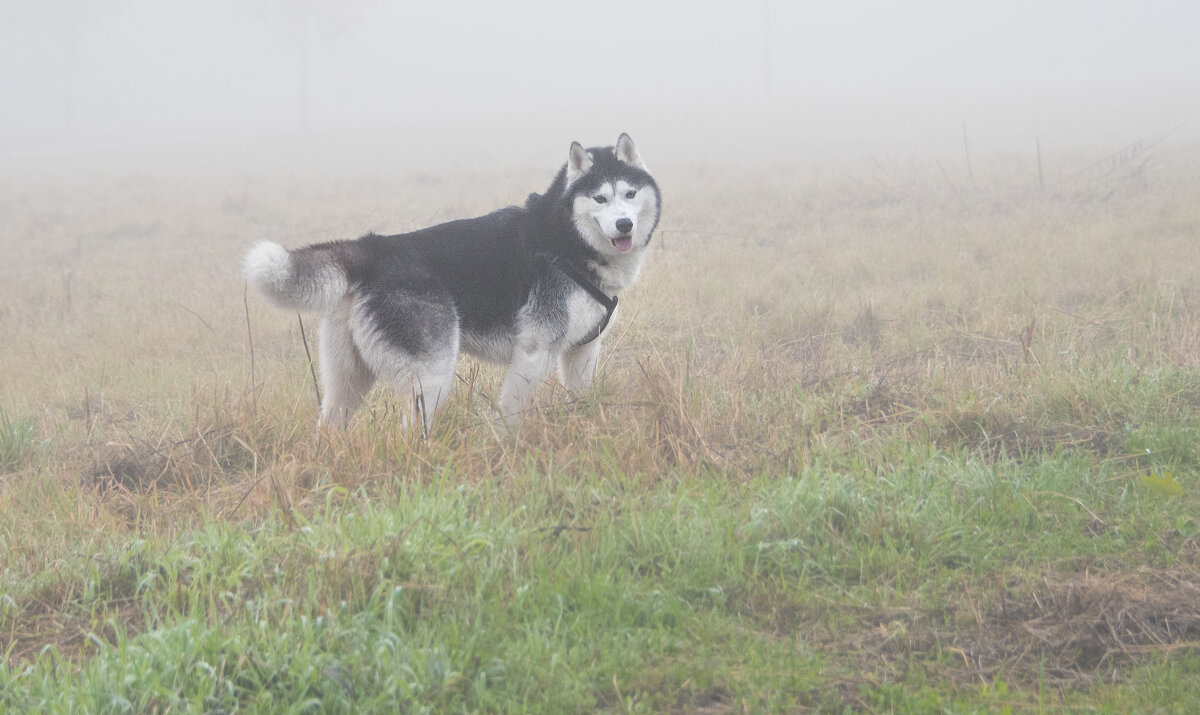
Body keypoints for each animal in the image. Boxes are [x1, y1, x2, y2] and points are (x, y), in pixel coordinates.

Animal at [240, 136, 662, 431]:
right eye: (600, 198)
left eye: (629, 194)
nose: (624, 224)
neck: (565, 239)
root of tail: (372, 248)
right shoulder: (534, 352)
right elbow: (508, 416)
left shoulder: (582, 351)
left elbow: (582, 401)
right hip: (432, 380)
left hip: (347, 381)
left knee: (328, 426)